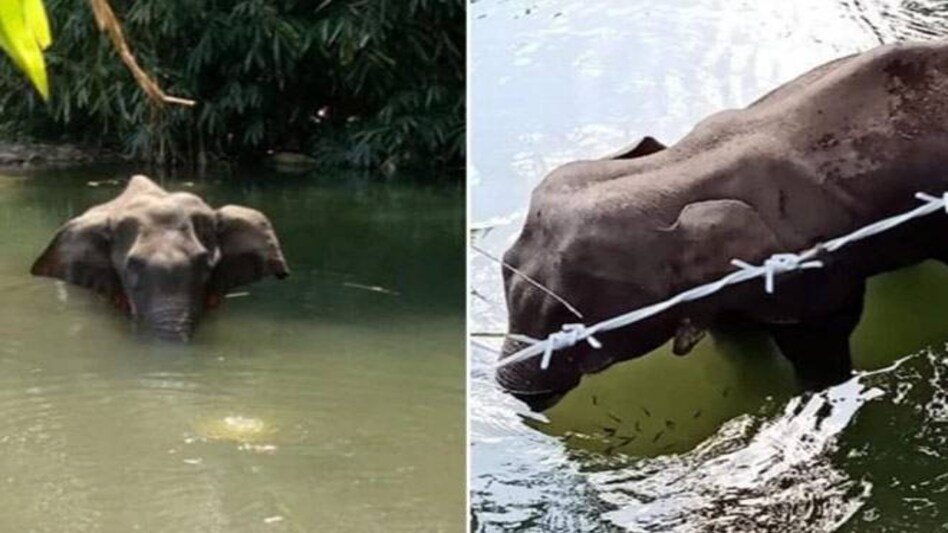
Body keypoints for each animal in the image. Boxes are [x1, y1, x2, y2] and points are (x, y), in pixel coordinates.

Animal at [498, 39, 948, 410]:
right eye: (505, 265)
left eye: (574, 325)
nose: (513, 391)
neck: (680, 168)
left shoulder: (811, 274)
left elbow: (820, 342)